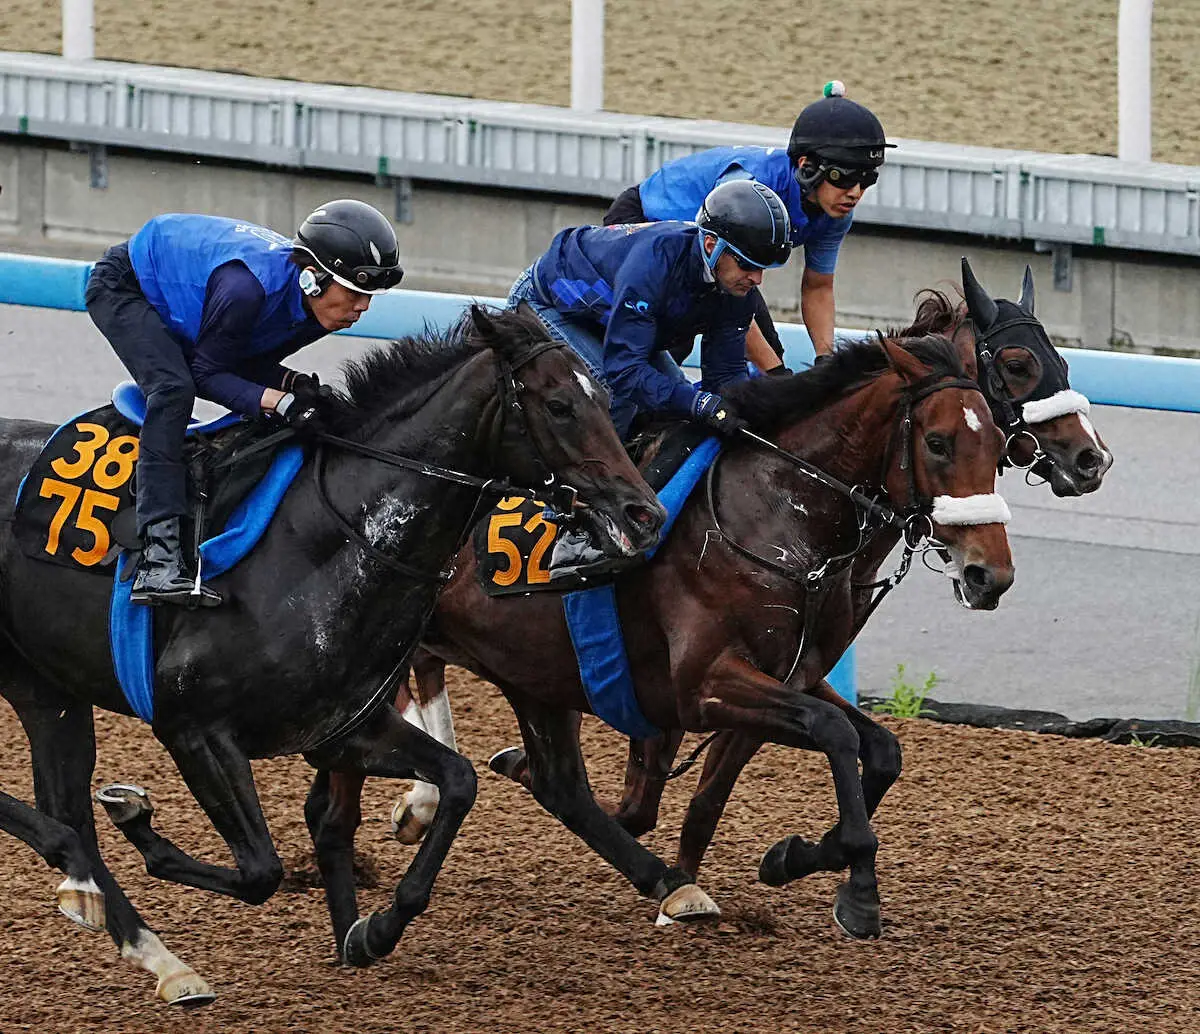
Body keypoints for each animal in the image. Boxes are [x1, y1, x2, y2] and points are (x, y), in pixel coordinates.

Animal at [0, 303, 667, 1007]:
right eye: (560, 405)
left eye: (606, 399)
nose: (643, 513)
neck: (329, 543)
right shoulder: (191, 726)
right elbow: (261, 870)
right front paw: (139, 821)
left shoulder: (342, 727)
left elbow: (459, 780)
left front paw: (373, 931)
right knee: (67, 823)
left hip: (47, 691)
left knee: (68, 808)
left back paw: (154, 953)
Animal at [307, 328, 1012, 945]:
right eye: (939, 443)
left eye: (1000, 443)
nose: (992, 574)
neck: (774, 518)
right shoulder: (704, 684)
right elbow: (834, 734)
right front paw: (857, 894)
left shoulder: (792, 676)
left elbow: (881, 748)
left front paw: (796, 857)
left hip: (528, 668)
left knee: (559, 783)